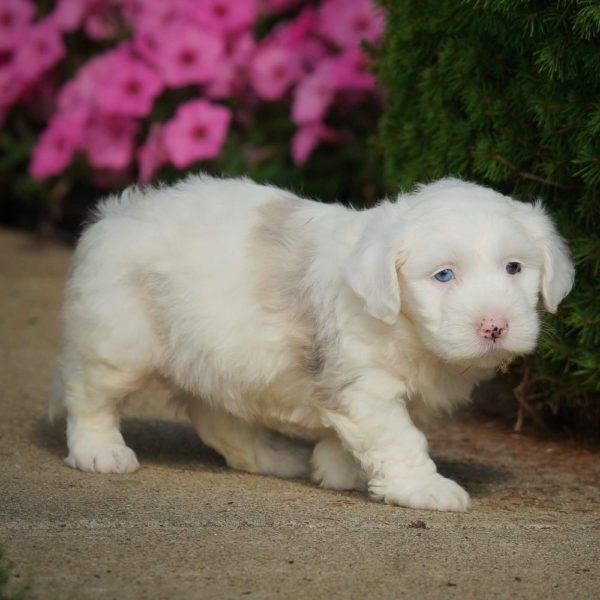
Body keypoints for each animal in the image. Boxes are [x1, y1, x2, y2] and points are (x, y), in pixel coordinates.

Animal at [50, 173, 572, 510]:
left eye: (514, 268)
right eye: (444, 275)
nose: (494, 326)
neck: (402, 323)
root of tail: (117, 213)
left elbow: (357, 438)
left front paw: (339, 469)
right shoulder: (365, 386)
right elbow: (399, 438)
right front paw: (425, 490)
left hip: (214, 354)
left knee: (220, 419)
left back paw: (276, 458)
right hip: (117, 343)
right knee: (88, 397)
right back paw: (100, 453)